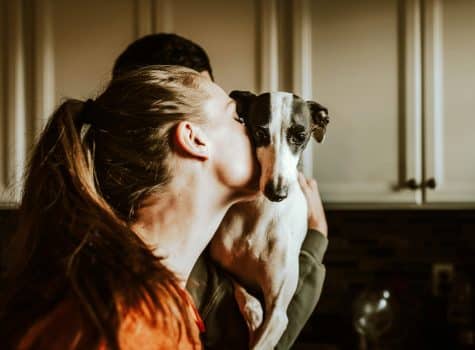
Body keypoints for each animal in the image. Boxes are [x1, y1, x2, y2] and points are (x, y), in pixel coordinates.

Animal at [210, 91, 330, 348]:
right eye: (260, 132)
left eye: (300, 136)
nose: (277, 192)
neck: (260, 213)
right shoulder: (216, 261)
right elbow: (239, 287)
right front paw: (254, 311)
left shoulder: (278, 315)